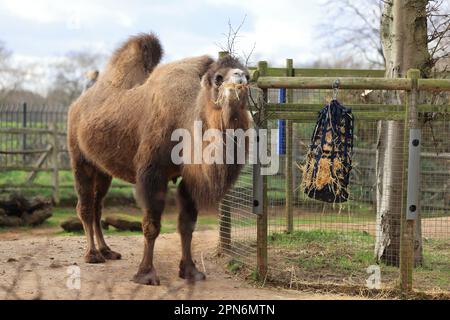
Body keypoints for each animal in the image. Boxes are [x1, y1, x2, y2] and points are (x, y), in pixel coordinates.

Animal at [67, 33, 250, 284]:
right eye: (218, 78)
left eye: (248, 74)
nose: (240, 77)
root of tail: (76, 105)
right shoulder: (152, 172)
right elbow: (151, 224)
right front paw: (146, 274)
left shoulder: (188, 176)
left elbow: (187, 225)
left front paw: (190, 271)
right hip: (79, 157)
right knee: (85, 205)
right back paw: (93, 254)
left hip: (102, 168)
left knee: (97, 205)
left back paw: (107, 250)